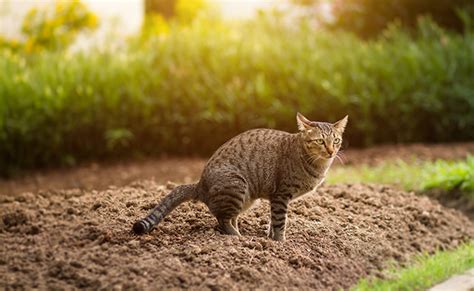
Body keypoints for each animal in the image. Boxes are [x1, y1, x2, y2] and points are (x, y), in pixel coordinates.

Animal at [133, 113, 348, 241]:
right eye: (320, 141)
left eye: (336, 140)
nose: (331, 151)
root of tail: (200, 184)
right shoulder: (281, 195)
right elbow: (280, 222)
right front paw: (280, 243)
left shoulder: (275, 198)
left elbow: (273, 221)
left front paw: (270, 237)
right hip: (237, 186)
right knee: (222, 220)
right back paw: (238, 238)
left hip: (246, 198)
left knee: (229, 217)